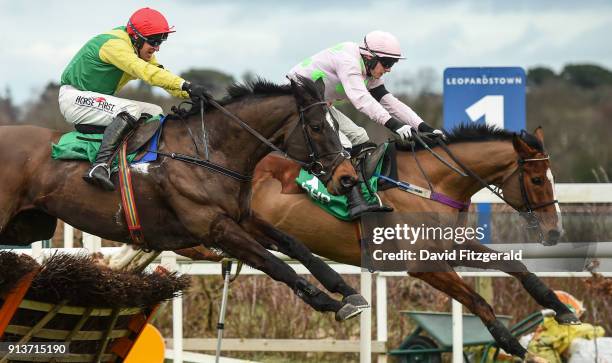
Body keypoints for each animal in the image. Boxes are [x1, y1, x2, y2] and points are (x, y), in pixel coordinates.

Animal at [0, 79, 368, 322]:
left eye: (337, 125)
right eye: (318, 127)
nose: (347, 177)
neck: (208, 152)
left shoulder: (243, 217)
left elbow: (296, 246)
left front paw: (348, 293)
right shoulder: (215, 228)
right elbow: (275, 264)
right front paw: (328, 302)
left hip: (26, 224)